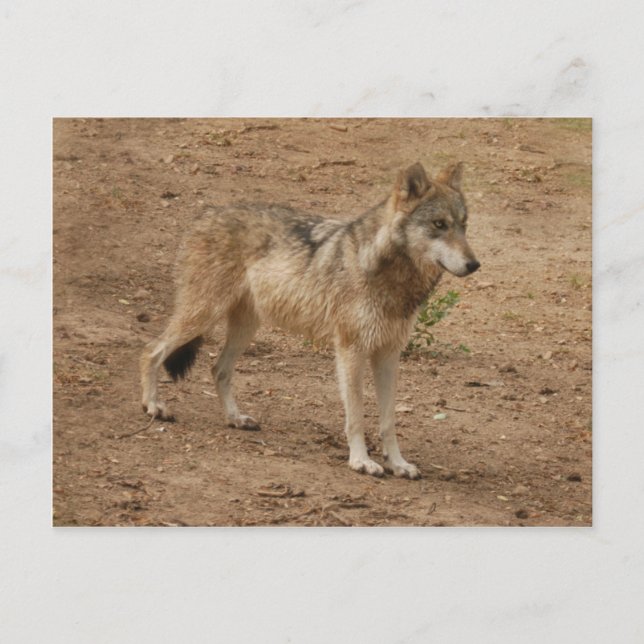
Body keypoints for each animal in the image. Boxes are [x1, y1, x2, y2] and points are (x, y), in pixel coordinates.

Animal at [140, 162, 479, 478]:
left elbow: (388, 421)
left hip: (246, 326)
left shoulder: (388, 355)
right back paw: (153, 406)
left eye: (463, 226)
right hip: (202, 316)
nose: (474, 264)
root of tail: (206, 214)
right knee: (150, 352)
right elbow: (356, 415)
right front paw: (361, 461)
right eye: (439, 224)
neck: (388, 274)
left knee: (218, 369)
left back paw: (235, 418)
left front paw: (397, 464)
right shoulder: (350, 351)